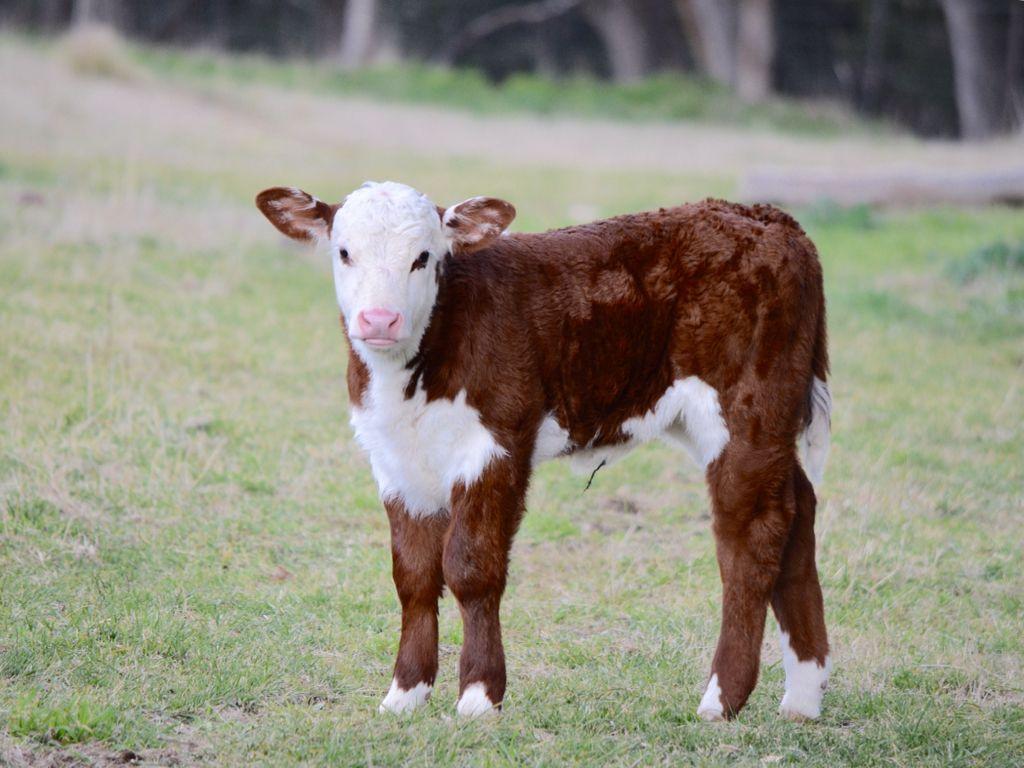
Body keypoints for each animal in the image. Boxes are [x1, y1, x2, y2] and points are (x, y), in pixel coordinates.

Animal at [255, 181, 832, 721]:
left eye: (423, 257)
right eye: (343, 252)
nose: (379, 320)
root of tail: (769, 219)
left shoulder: (497, 444)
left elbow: (471, 567)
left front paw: (479, 696)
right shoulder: (394, 459)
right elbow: (413, 576)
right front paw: (404, 694)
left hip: (747, 411)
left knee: (751, 538)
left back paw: (722, 698)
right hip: (758, 425)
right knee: (797, 512)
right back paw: (803, 696)